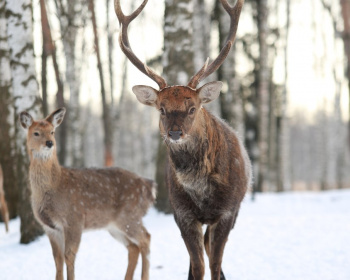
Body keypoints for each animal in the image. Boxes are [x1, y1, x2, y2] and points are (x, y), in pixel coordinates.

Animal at [19, 108, 156, 280]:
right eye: (36, 133)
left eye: (52, 131)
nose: (50, 143)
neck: (54, 187)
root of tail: (149, 186)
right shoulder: (50, 227)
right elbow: (57, 259)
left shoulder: (74, 219)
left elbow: (69, 256)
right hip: (114, 225)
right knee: (133, 247)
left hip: (129, 215)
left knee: (146, 238)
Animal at [115, 0, 252, 278]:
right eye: (161, 109)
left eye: (192, 108)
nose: (175, 133)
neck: (202, 193)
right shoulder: (182, 214)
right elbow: (198, 265)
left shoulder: (227, 212)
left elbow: (214, 263)